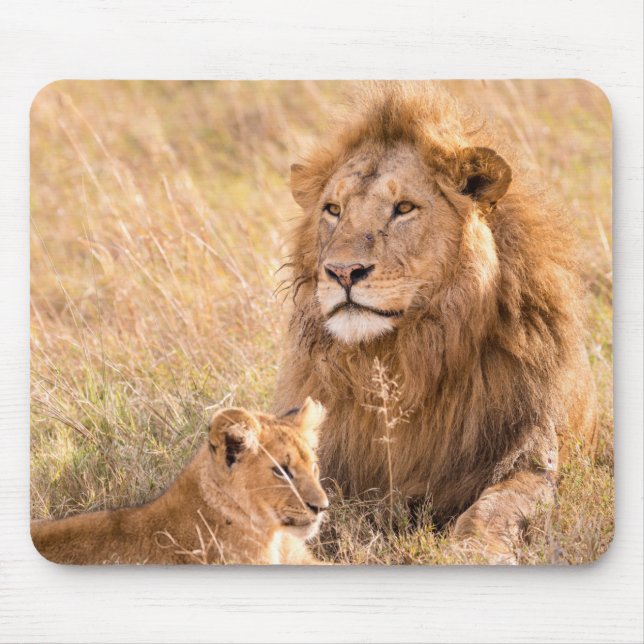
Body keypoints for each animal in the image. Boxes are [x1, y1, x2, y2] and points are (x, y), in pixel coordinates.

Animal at [274, 82, 597, 562]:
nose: (342, 272)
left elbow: (498, 505)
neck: (400, 359)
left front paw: (476, 551)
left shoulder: (531, 455)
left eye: (404, 207)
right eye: (333, 209)